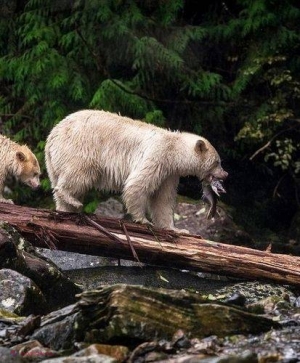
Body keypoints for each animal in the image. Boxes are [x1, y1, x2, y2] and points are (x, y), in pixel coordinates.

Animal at [45, 109, 227, 232]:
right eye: (217, 161)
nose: (226, 174)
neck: (174, 150)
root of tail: (52, 136)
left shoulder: (169, 173)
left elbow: (163, 199)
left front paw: (177, 229)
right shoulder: (157, 155)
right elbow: (137, 185)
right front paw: (143, 220)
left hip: (54, 163)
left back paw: (66, 209)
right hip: (80, 147)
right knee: (80, 174)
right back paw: (72, 200)